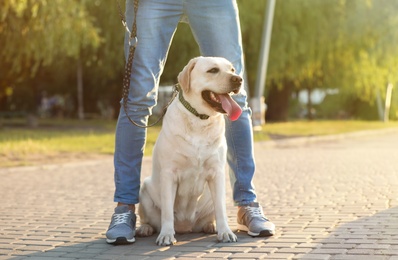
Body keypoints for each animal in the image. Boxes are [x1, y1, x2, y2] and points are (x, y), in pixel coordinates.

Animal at [137, 55, 243, 245]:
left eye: (232, 69)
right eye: (213, 70)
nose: (238, 79)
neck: (199, 120)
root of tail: (185, 227)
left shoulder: (217, 172)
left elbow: (221, 209)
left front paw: (225, 232)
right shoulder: (169, 174)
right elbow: (167, 212)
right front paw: (166, 235)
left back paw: (211, 226)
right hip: (145, 192)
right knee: (148, 219)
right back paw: (145, 229)